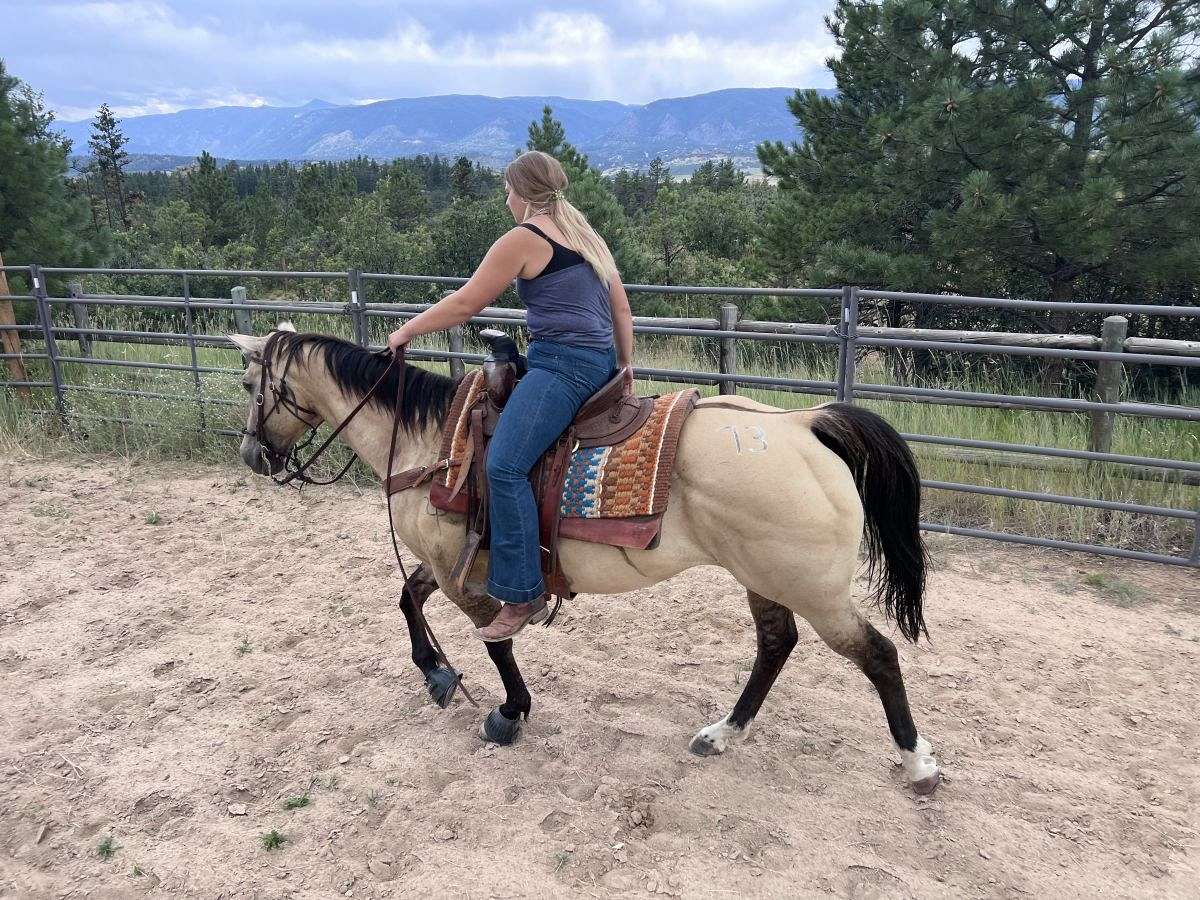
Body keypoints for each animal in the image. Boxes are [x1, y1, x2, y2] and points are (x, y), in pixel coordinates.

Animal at [229, 325, 941, 795]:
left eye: (247, 382)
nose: (252, 456)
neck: (433, 445)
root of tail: (802, 424)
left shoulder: (467, 575)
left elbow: (494, 639)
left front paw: (508, 711)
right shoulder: (448, 560)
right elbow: (408, 597)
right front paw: (436, 674)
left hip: (812, 589)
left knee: (876, 655)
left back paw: (918, 765)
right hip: (761, 577)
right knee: (775, 645)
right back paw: (721, 733)